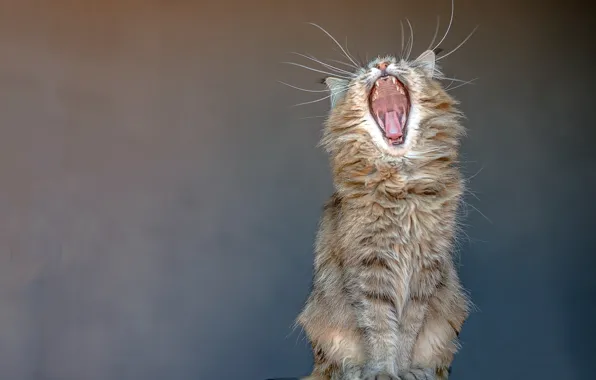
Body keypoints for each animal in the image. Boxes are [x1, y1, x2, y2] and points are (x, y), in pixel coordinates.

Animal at [292, 14, 472, 380]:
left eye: (400, 62)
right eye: (365, 70)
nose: (382, 63)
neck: (403, 186)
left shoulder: (426, 268)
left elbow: (407, 330)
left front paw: (404, 370)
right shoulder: (369, 265)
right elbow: (379, 328)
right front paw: (382, 372)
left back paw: (422, 370)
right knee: (335, 366)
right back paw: (355, 371)